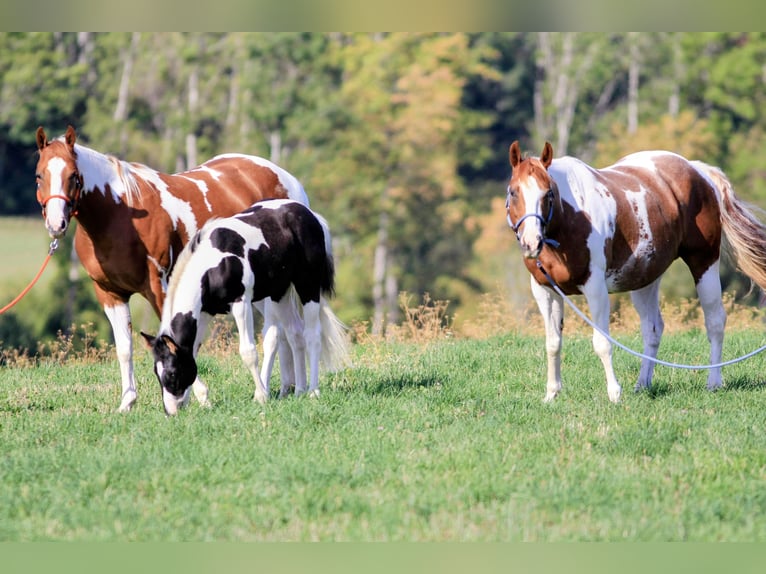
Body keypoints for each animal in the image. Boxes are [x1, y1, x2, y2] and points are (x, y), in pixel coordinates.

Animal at [34, 125, 310, 412]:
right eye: (39, 175)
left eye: (73, 175)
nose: (56, 224)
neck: (119, 217)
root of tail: (286, 178)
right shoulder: (110, 294)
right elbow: (125, 348)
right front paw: (127, 402)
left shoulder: (159, 287)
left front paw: (198, 396)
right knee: (283, 330)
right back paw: (285, 388)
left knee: (275, 332)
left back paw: (272, 390)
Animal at [139, 198, 349, 415]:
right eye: (157, 372)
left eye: (172, 373)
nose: (171, 411)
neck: (212, 266)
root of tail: (310, 215)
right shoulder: (204, 313)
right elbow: (193, 351)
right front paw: (204, 399)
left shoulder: (241, 303)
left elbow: (248, 351)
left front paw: (261, 396)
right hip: (279, 293)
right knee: (294, 334)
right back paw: (299, 390)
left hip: (308, 285)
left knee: (312, 334)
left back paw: (313, 391)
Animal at [506, 140, 766, 403]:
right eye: (513, 192)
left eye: (548, 193)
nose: (531, 243)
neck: (569, 220)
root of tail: (698, 170)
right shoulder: (546, 290)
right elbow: (553, 343)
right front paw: (551, 393)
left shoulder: (595, 288)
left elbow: (602, 343)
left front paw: (614, 393)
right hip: (645, 278)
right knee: (653, 329)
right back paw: (643, 384)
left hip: (704, 263)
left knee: (715, 321)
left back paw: (713, 381)